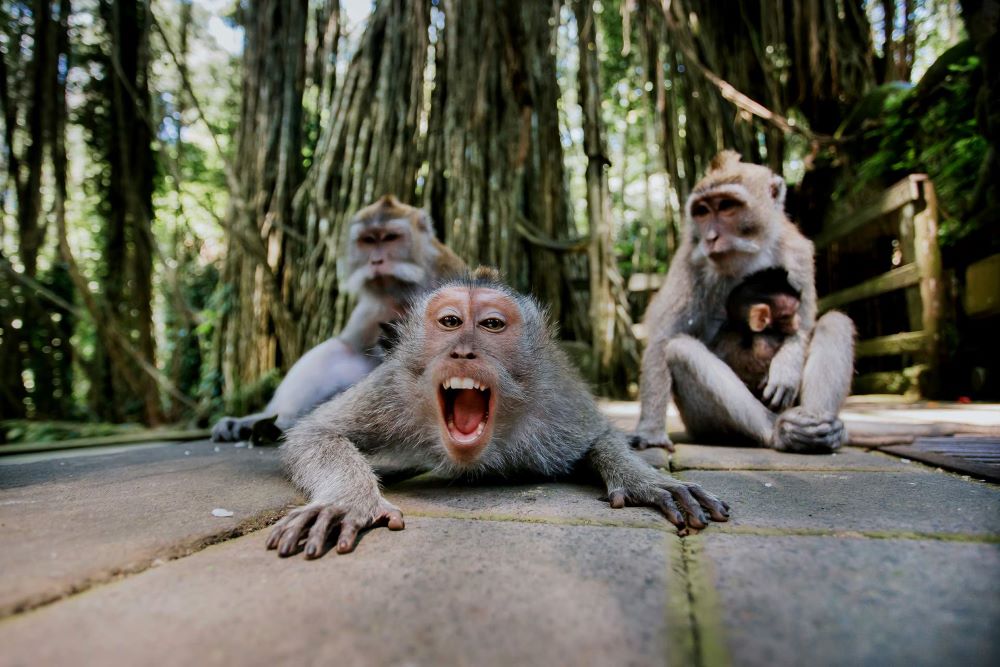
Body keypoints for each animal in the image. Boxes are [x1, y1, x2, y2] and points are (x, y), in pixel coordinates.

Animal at [212, 195, 466, 442]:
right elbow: (352, 348)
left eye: (390, 238)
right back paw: (268, 421)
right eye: (368, 240)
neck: (404, 294)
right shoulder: (372, 308)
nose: (376, 261)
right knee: (337, 350)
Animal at [266, 268, 730, 558]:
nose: (463, 351)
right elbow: (316, 432)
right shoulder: (394, 387)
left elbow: (601, 437)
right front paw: (348, 501)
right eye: (450, 321)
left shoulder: (554, 400)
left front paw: (645, 480)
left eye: (491, 325)